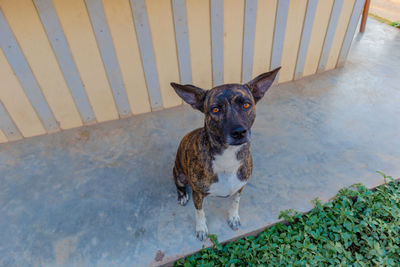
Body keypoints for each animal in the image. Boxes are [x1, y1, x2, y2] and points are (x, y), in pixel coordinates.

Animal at [170, 66, 280, 241]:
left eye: (246, 105)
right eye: (215, 109)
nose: (239, 132)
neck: (228, 157)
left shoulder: (240, 187)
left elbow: (235, 203)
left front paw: (233, 217)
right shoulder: (197, 194)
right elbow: (199, 212)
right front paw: (201, 228)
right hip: (179, 174)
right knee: (178, 184)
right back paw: (182, 196)